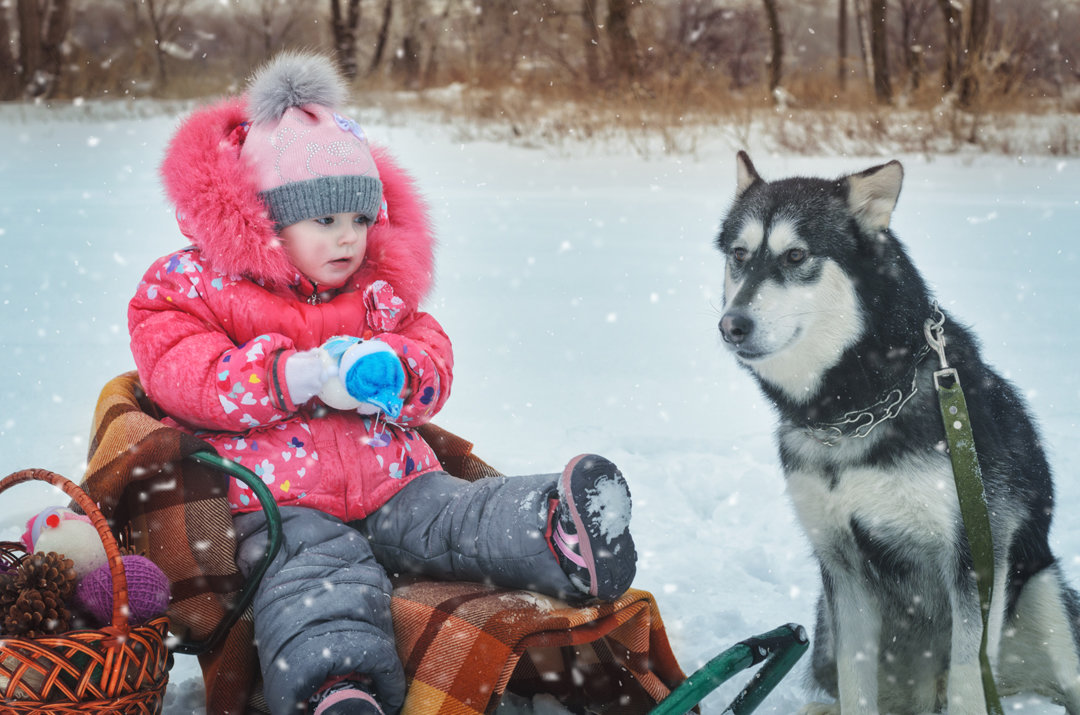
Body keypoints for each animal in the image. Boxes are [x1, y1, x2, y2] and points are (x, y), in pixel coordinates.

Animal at [717, 154, 1080, 712]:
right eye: (739, 255)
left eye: (796, 255)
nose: (731, 325)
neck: (855, 407)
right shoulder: (842, 570)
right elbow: (856, 687)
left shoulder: (974, 562)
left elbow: (967, 685)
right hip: (825, 637)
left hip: (1045, 596)